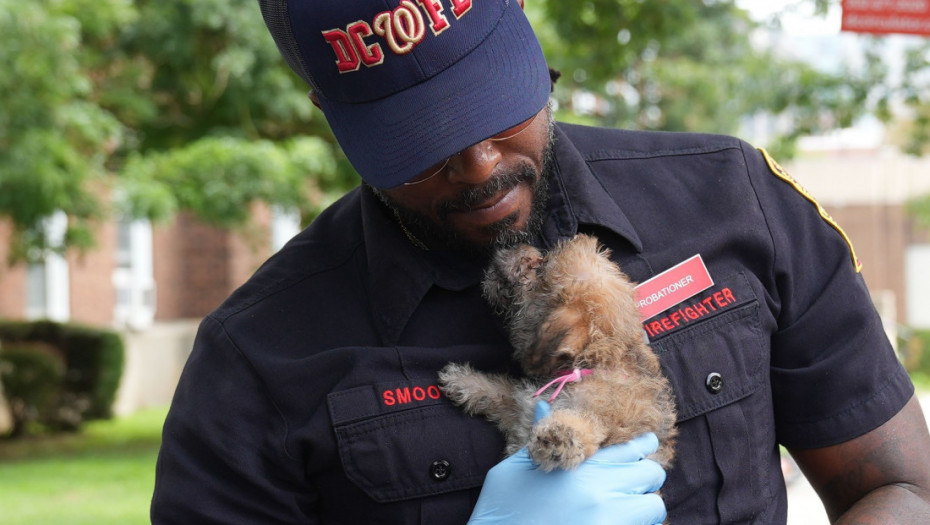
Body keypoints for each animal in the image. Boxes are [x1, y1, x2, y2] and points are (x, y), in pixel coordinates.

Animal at [436, 233, 676, 470]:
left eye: (540, 267)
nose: (519, 246)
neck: (587, 366)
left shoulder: (617, 426)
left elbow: (593, 424)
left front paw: (562, 434)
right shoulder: (521, 408)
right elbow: (501, 391)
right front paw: (465, 381)